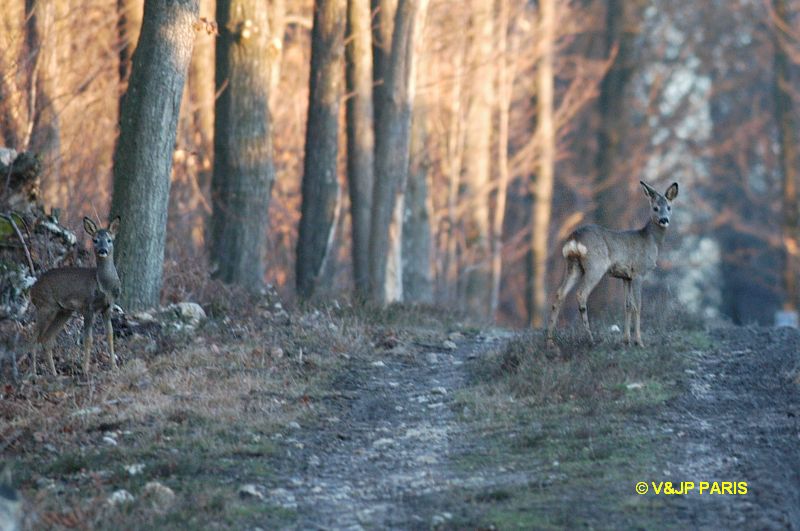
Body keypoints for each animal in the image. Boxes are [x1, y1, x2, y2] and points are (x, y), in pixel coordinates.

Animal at [30, 217, 120, 378]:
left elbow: (110, 336)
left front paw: (114, 367)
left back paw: (55, 374)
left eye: (109, 240)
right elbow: (88, 339)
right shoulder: (88, 307)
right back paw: (34, 374)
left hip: (63, 311)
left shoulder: (107, 309)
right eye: (95, 240)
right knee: (34, 338)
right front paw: (85, 370)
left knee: (46, 339)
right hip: (45, 306)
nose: (102, 250)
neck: (104, 285)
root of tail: (32, 289)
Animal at [544, 181, 676, 352]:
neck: (650, 240)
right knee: (581, 293)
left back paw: (550, 342)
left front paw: (626, 341)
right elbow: (638, 306)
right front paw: (639, 342)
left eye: (669, 207)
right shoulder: (639, 272)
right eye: (655, 208)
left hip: (573, 265)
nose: (664, 220)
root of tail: (574, 239)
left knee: (560, 293)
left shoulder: (626, 277)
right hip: (595, 266)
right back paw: (590, 339)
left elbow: (627, 305)